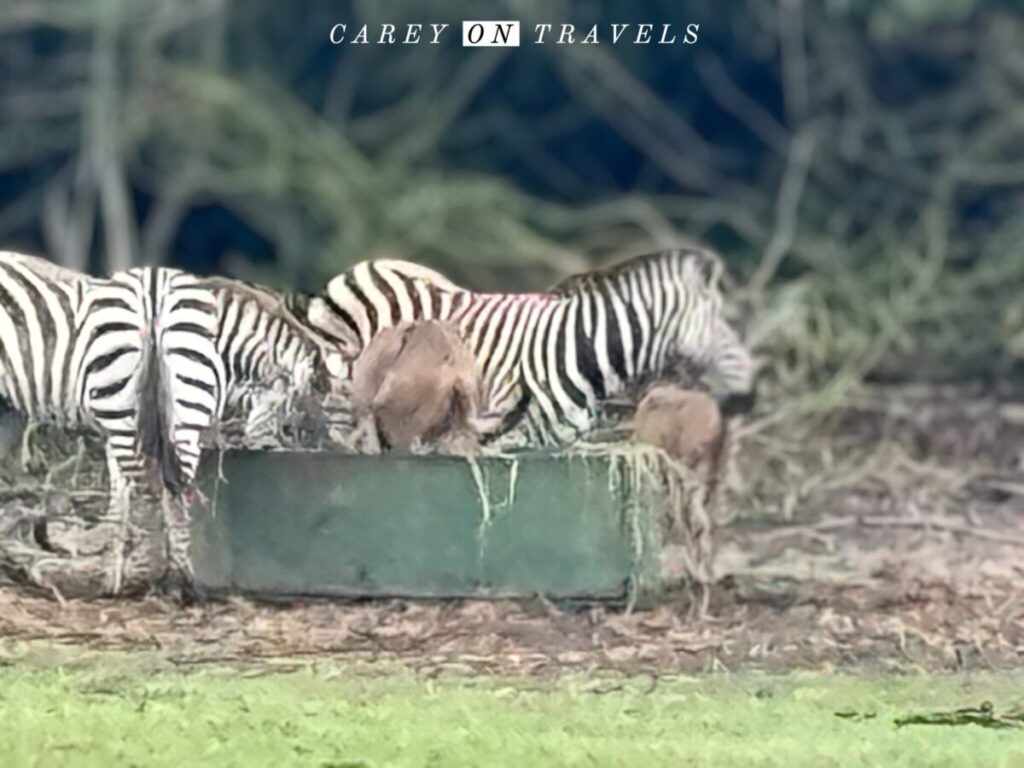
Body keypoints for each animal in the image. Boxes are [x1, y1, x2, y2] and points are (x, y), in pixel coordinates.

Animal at [299, 249, 757, 448]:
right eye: (723, 327)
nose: (750, 400)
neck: (578, 351)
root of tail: (363, 266)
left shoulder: (554, 444)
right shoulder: (503, 438)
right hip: (345, 391)